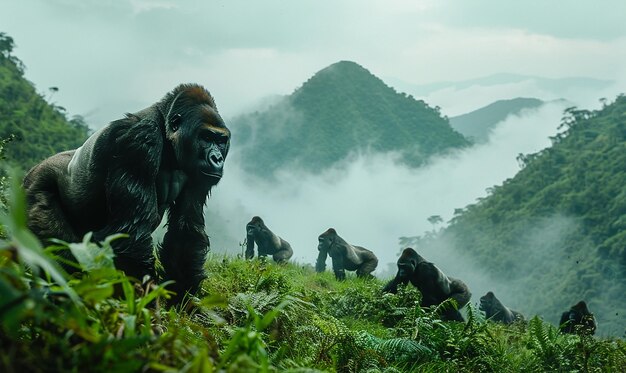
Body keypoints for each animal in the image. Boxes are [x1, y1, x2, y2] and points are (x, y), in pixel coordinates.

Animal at [23, 83, 232, 300]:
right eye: (206, 137)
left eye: (221, 140)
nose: (217, 158)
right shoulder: (139, 139)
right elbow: (131, 231)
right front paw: (146, 301)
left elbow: (185, 230)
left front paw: (182, 300)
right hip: (35, 186)